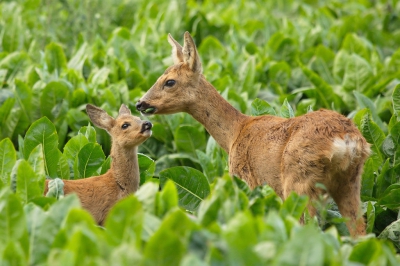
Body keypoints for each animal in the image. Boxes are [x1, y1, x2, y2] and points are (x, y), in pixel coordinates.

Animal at [136, 32, 370, 236]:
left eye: (169, 81)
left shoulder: (246, 180)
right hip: (350, 182)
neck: (235, 133)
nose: (140, 103)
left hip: (298, 183)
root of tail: (346, 141)